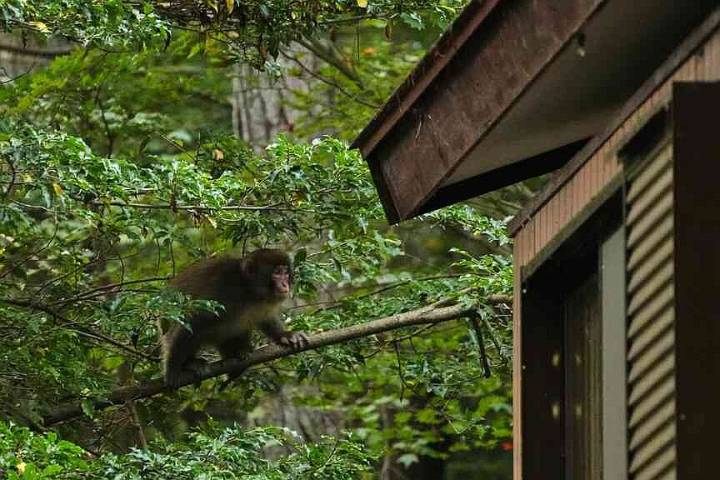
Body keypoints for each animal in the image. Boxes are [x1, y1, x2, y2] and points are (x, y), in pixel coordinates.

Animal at [162, 248, 309, 388]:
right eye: (277, 273)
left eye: (286, 273)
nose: (285, 284)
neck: (247, 289)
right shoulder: (224, 292)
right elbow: (193, 321)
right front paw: (173, 370)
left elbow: (266, 318)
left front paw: (285, 335)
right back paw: (190, 363)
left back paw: (240, 351)